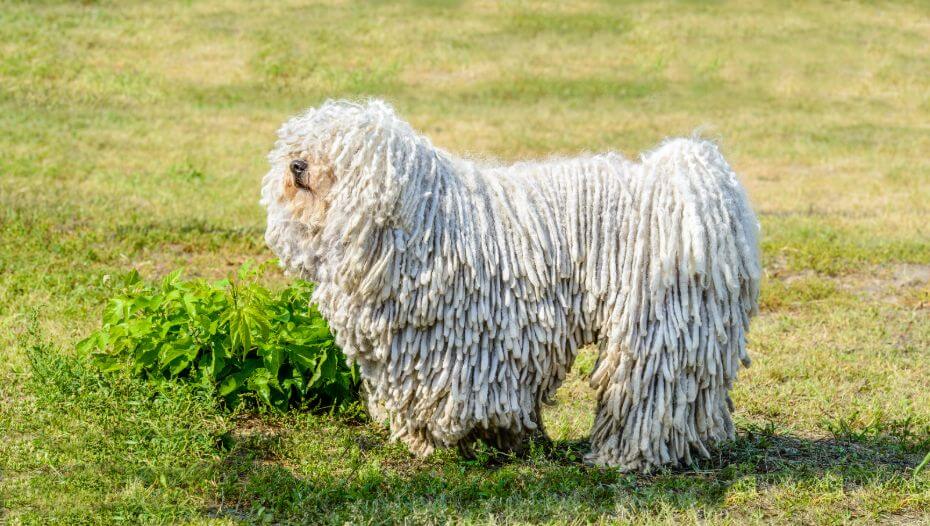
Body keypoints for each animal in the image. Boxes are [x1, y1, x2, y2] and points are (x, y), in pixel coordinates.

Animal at [258, 100, 756, 474]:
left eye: (338, 151)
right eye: (300, 143)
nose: (297, 164)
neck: (417, 220)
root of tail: (692, 191)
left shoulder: (462, 343)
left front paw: (454, 443)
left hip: (653, 324)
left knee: (647, 392)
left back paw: (626, 457)